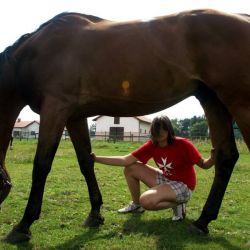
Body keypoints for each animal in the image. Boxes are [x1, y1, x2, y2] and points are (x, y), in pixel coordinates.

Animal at [0, 9, 249, 242]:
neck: (34, 54)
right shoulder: (74, 117)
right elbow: (86, 161)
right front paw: (95, 215)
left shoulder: (55, 109)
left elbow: (41, 166)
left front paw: (23, 226)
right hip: (212, 100)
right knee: (226, 157)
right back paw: (202, 221)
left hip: (238, 102)